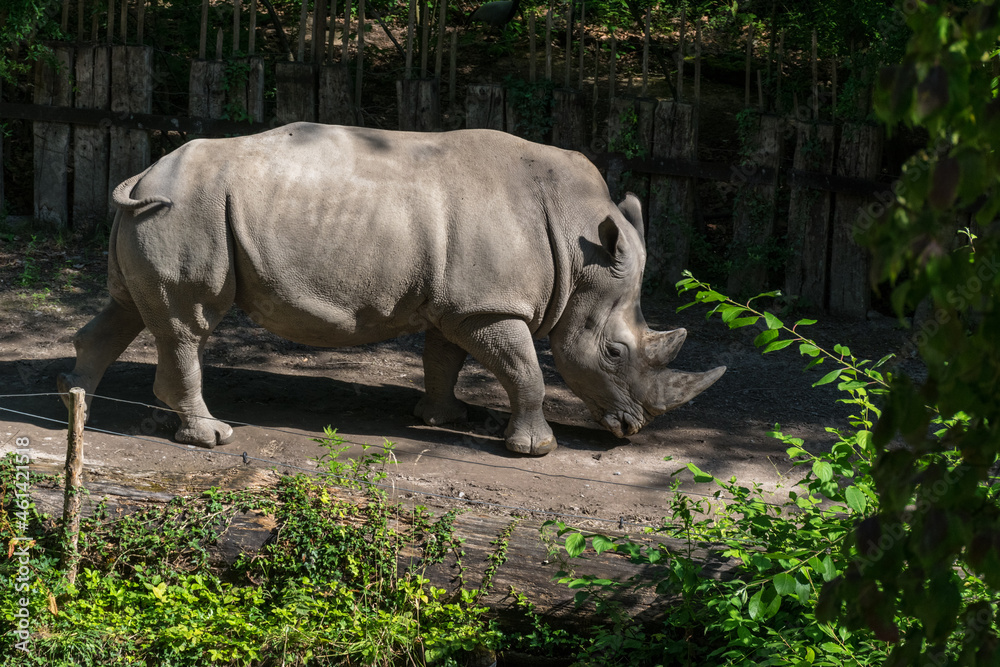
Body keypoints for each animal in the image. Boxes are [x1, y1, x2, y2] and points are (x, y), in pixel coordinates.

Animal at [58, 123, 724, 456]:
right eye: (614, 352)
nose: (631, 430)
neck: (576, 236)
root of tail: (144, 173)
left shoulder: (462, 303)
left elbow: (445, 358)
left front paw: (448, 417)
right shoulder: (489, 306)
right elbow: (527, 370)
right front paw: (535, 450)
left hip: (159, 215)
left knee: (129, 310)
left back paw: (77, 407)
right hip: (184, 213)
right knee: (186, 321)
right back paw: (212, 437)